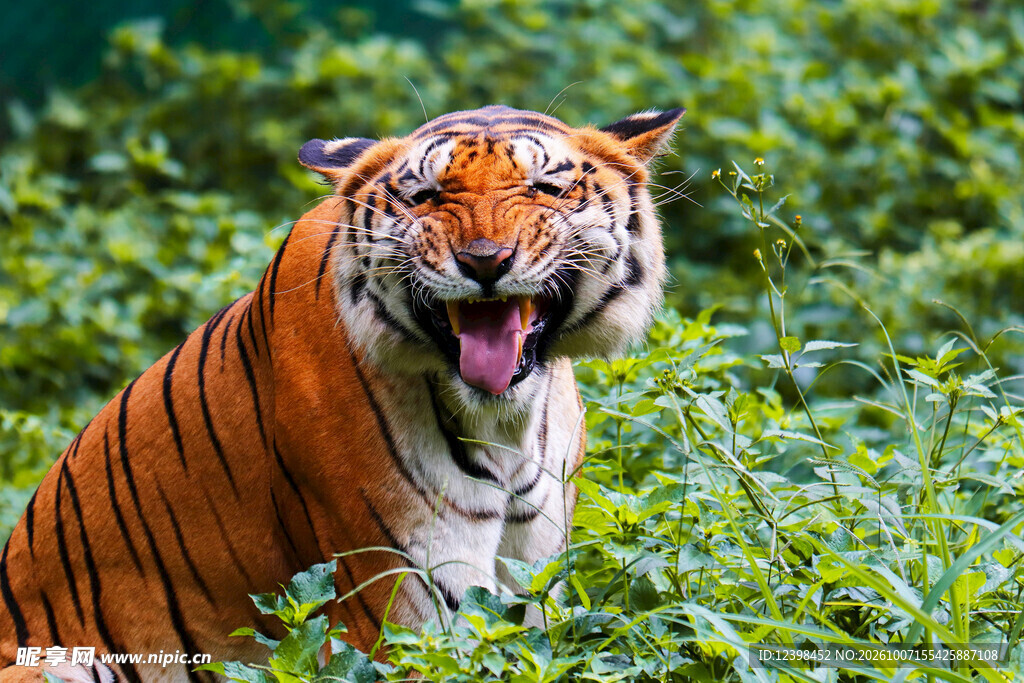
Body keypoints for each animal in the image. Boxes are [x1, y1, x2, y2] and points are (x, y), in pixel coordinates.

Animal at [0, 104, 684, 682]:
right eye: (426, 196)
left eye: (543, 188)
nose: (485, 261)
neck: (504, 423)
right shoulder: (404, 590)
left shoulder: (535, 580)